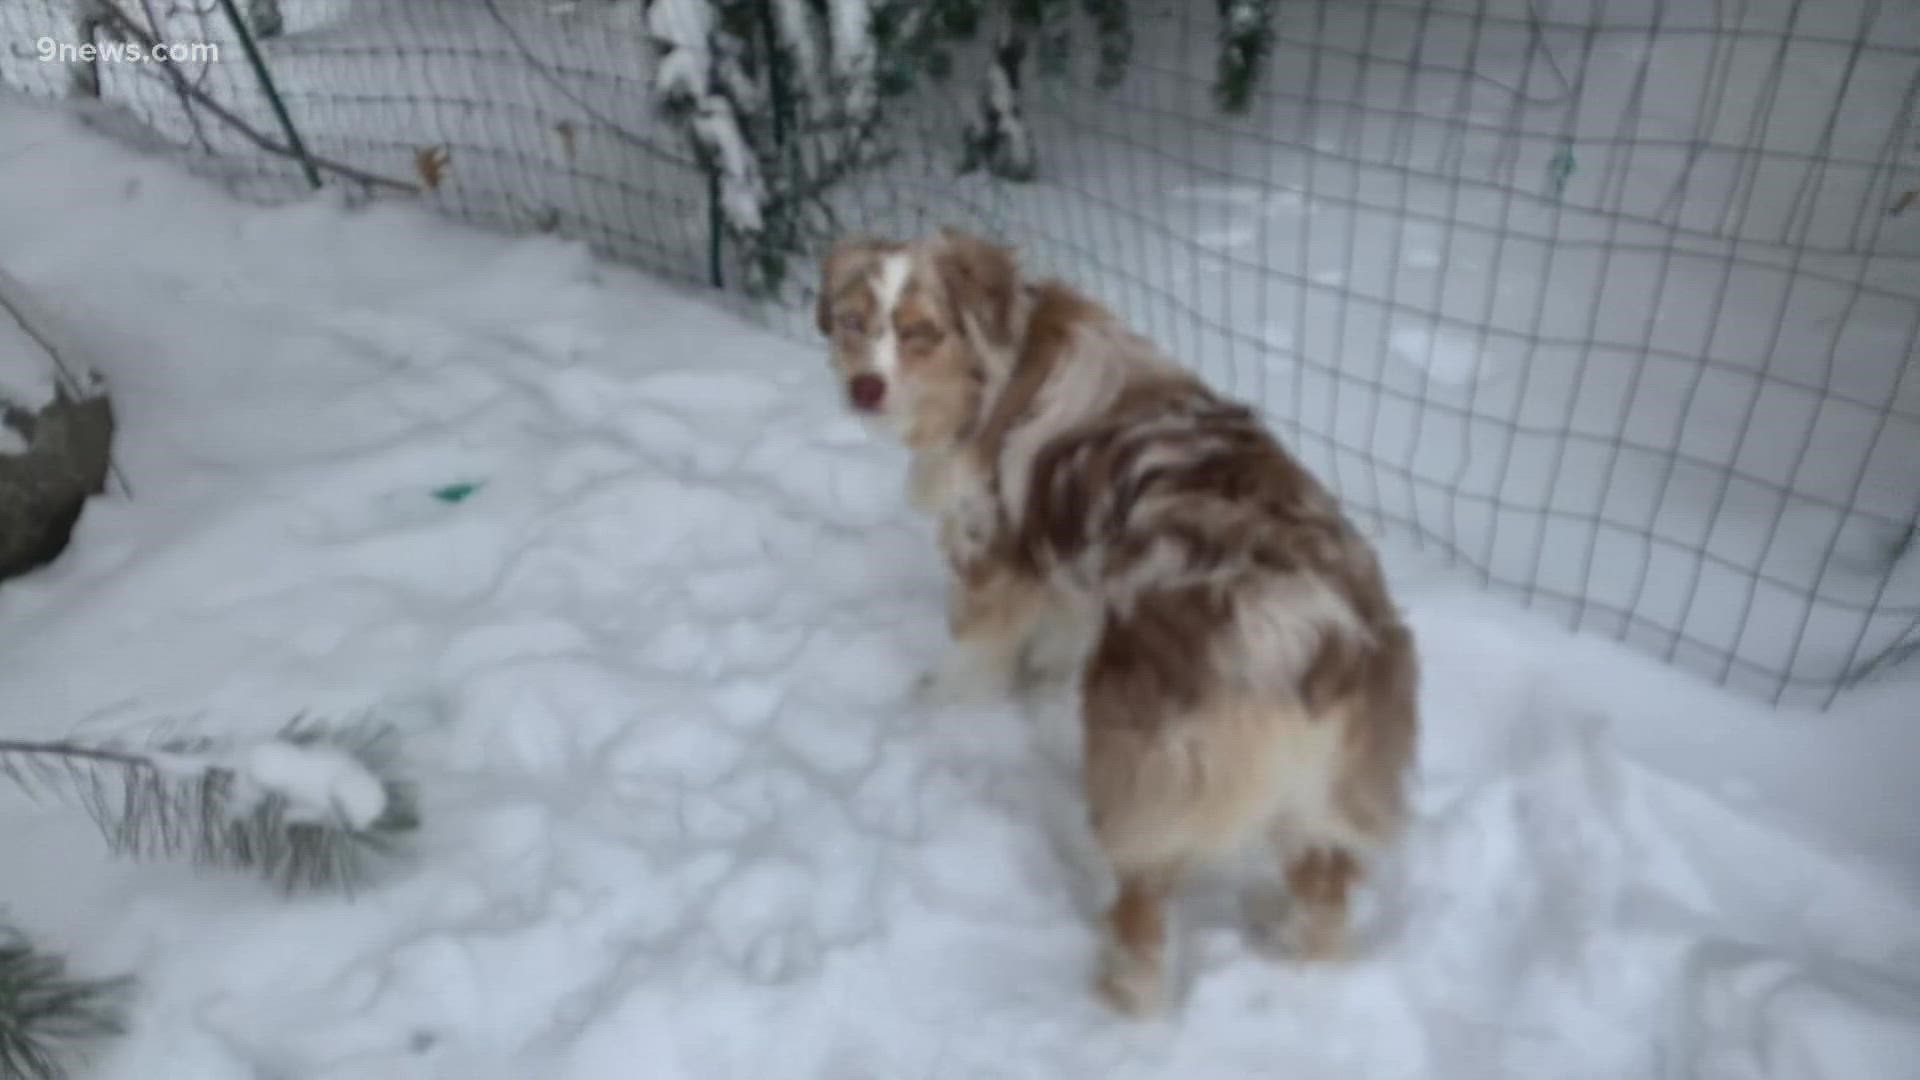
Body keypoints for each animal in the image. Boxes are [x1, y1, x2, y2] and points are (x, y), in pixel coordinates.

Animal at [817, 228, 1420, 1014]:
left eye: (921, 331)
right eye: (853, 321)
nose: (865, 388)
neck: (999, 364)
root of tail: (1305, 634)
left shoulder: (994, 556)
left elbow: (970, 655)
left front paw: (939, 706)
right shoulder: (1066, 572)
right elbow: (1050, 643)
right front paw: (1034, 679)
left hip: (1144, 761)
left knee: (1145, 900)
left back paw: (1122, 997)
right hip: (1326, 783)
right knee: (1322, 889)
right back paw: (1296, 957)